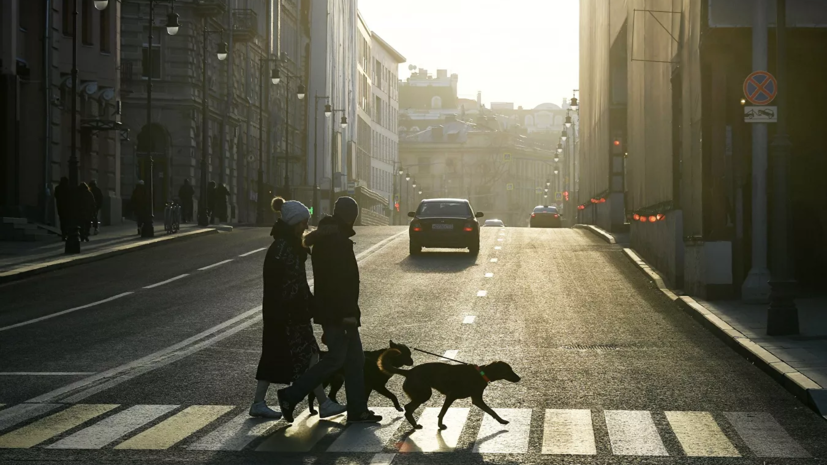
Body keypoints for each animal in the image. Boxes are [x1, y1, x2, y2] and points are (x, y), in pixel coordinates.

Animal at [378, 352, 520, 432]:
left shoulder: (475, 399)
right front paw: (440, 425)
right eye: (508, 370)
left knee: (409, 408)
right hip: (424, 394)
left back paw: (415, 425)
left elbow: (491, 411)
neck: (481, 373)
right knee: (408, 408)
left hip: (422, 394)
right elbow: (442, 412)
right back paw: (415, 425)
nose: (519, 378)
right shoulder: (453, 396)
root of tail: (408, 372)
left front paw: (501, 421)